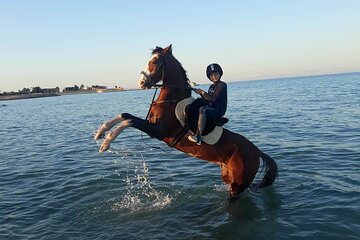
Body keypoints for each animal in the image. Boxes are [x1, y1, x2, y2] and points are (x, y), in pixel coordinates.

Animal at [94, 44, 278, 199]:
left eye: (155, 61)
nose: (141, 82)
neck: (171, 100)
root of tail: (256, 151)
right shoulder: (153, 128)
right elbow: (125, 115)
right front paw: (100, 132)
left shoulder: (158, 131)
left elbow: (129, 121)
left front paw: (106, 142)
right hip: (229, 177)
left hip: (238, 184)